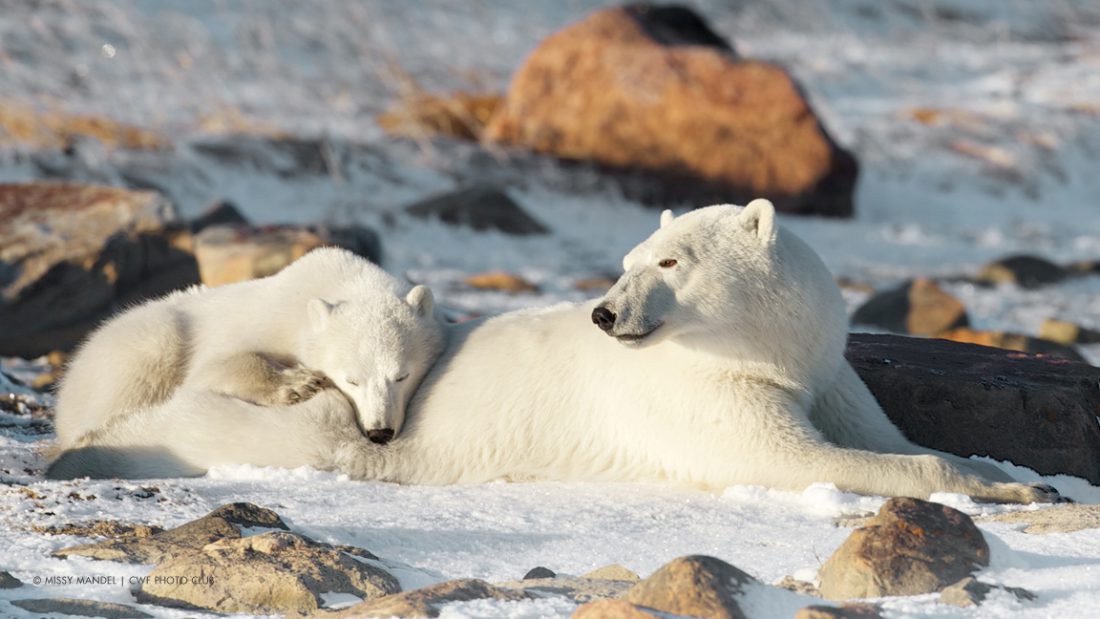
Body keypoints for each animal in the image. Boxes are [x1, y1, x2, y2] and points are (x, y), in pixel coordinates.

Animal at [47, 249, 442, 481]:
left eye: (402, 375)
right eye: (352, 380)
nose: (380, 432)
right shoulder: (265, 319)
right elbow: (215, 366)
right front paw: (298, 383)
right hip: (138, 346)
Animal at [316, 202, 1056, 503]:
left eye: (669, 260)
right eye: (627, 261)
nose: (605, 312)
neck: (768, 353)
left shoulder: (825, 377)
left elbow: (885, 436)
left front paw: (1022, 476)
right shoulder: (704, 395)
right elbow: (792, 457)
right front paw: (1014, 487)